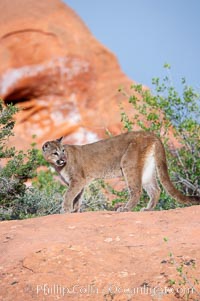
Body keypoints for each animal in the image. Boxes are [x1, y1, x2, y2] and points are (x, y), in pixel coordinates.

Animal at [41, 132, 199, 213]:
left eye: (63, 151)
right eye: (55, 153)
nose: (63, 159)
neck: (59, 166)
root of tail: (150, 133)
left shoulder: (77, 180)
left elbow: (69, 194)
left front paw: (66, 209)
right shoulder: (80, 182)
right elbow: (77, 197)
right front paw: (75, 210)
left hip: (129, 164)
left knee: (137, 190)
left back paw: (125, 208)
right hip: (148, 169)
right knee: (156, 189)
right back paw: (148, 209)